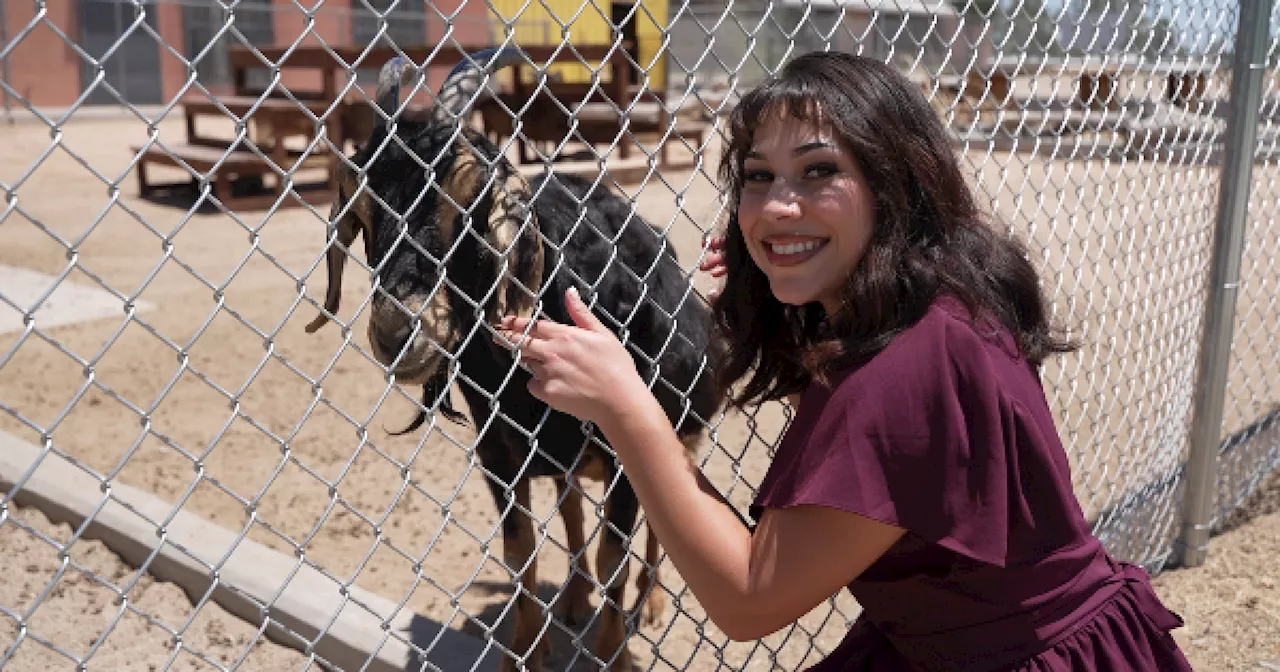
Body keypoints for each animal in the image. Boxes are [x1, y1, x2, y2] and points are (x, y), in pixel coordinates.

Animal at [304, 51, 727, 670]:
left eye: (470, 208)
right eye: (362, 214)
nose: (397, 331)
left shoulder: (627, 448)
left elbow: (616, 554)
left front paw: (614, 654)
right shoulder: (500, 453)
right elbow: (520, 549)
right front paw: (525, 648)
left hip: (683, 427)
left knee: (660, 518)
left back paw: (649, 604)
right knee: (573, 509)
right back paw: (573, 598)